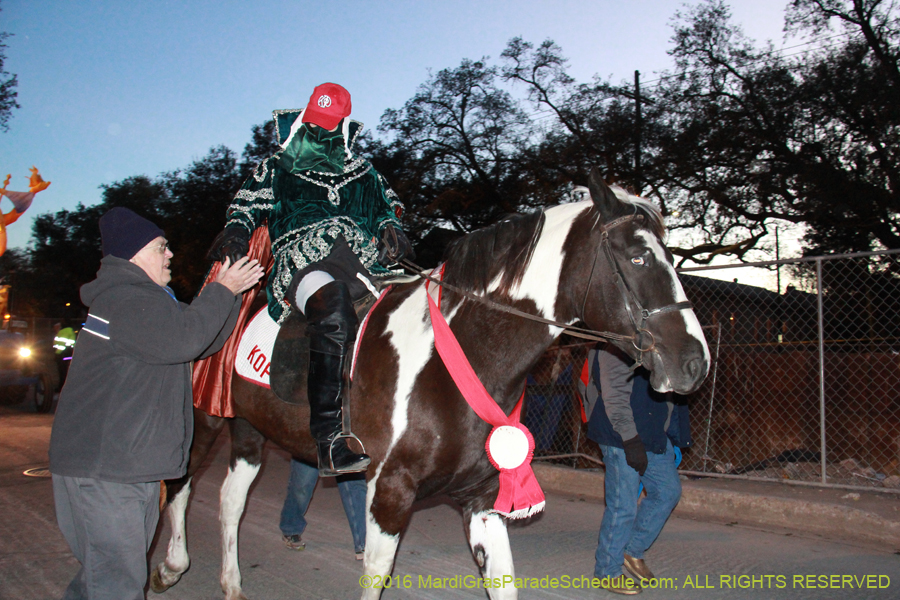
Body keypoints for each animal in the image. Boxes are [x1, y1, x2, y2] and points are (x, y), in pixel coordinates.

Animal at [151, 170, 712, 600]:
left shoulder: (481, 499)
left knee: (230, 500)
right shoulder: (390, 493)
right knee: (180, 485)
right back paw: (171, 566)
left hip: (249, 426)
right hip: (204, 417)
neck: (456, 355)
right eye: (638, 257)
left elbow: (503, 582)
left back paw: (230, 583)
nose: (694, 362)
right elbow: (375, 578)